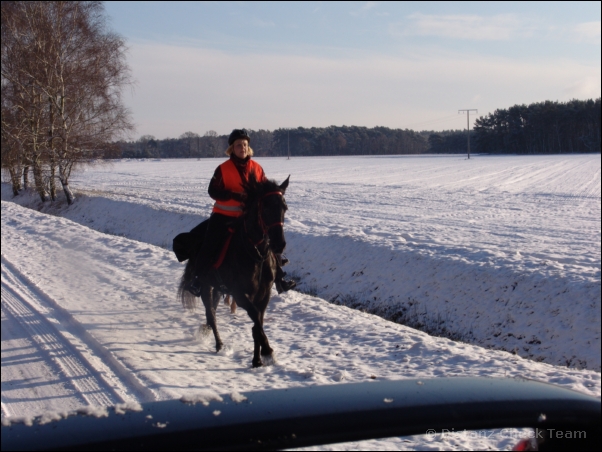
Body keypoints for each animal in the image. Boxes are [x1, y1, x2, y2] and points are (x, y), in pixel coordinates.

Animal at [178, 175, 290, 368]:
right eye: (266, 207)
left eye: (284, 207)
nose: (279, 244)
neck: (255, 254)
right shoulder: (240, 294)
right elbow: (256, 320)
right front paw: (267, 352)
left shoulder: (263, 295)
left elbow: (258, 324)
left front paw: (257, 359)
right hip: (206, 285)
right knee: (211, 314)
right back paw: (219, 345)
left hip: (217, 288)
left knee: (213, 311)